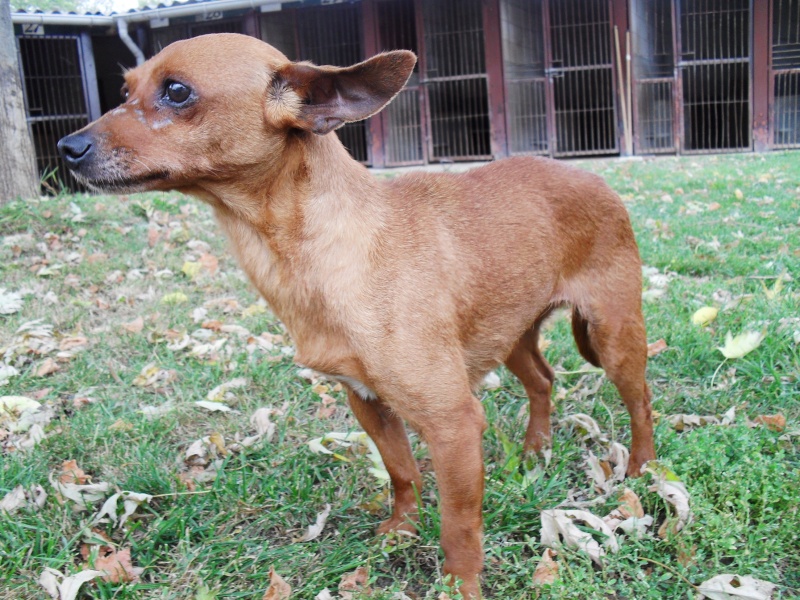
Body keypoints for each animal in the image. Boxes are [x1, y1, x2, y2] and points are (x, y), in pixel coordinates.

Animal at [57, 35, 656, 596]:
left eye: (177, 92)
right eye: (124, 91)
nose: (67, 146)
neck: (316, 256)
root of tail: (594, 179)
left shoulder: (454, 425)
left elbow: (460, 527)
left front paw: (458, 585)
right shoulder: (367, 403)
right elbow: (402, 472)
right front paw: (403, 529)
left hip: (613, 335)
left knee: (640, 403)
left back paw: (642, 470)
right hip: (511, 335)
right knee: (543, 380)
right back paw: (535, 452)